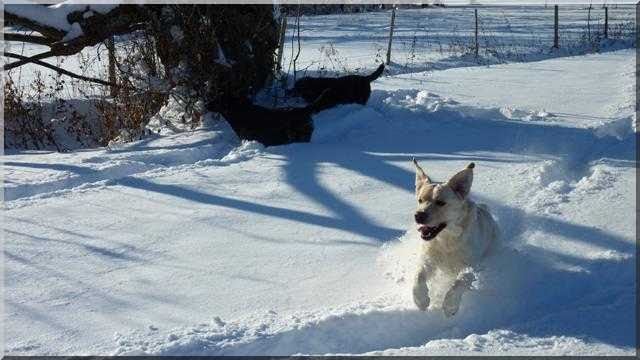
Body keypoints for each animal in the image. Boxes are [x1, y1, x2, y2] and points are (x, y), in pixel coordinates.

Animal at [410, 159, 500, 316]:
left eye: (440, 202)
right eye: (420, 200)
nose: (418, 215)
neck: (448, 240)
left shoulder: (471, 265)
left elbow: (459, 282)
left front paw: (450, 305)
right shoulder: (428, 259)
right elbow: (418, 275)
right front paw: (420, 299)